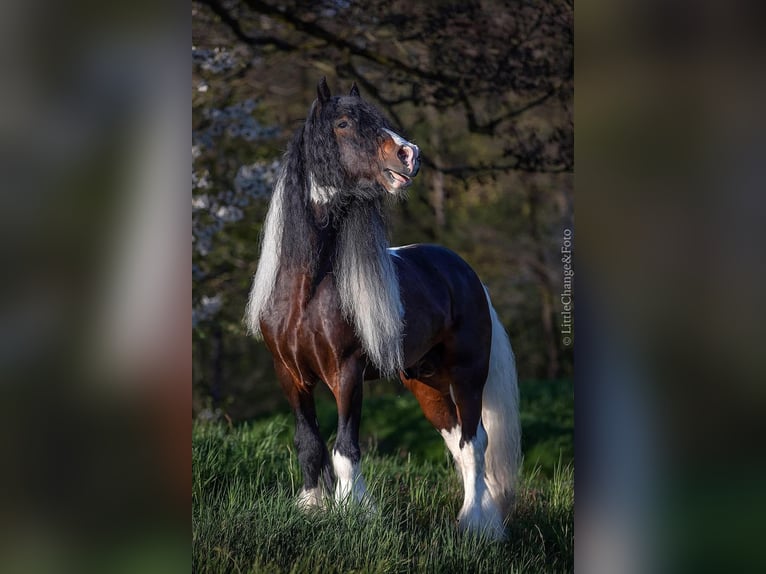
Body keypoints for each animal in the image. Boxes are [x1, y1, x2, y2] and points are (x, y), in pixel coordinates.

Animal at [246, 78, 520, 540]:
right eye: (343, 123)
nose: (410, 154)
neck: (304, 292)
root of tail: (464, 271)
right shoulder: (290, 374)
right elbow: (309, 444)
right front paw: (312, 508)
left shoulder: (347, 372)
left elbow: (345, 448)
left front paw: (354, 512)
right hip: (425, 381)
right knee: (456, 441)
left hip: (468, 373)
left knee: (474, 441)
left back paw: (476, 525)